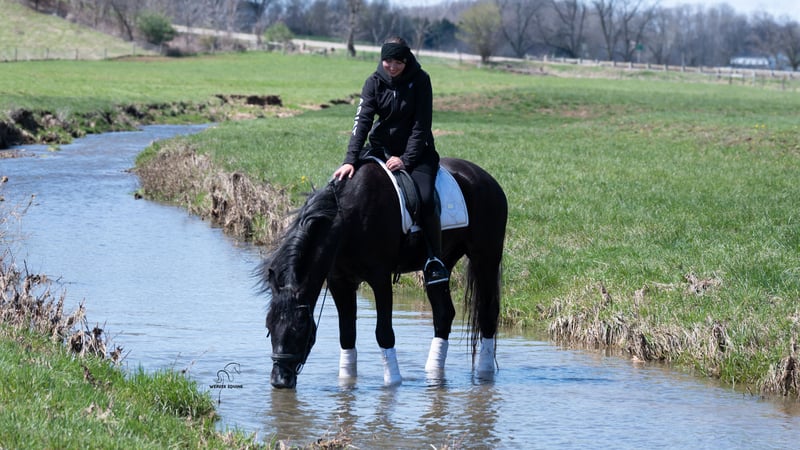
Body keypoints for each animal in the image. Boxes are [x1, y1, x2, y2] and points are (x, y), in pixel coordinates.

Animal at [259, 157, 507, 389]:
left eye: (300, 327)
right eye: (269, 326)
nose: (280, 380)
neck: (348, 219)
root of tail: (486, 179)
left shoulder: (380, 280)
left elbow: (384, 332)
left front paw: (393, 382)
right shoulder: (340, 282)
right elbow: (347, 334)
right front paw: (347, 382)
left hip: (486, 257)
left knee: (488, 313)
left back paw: (484, 373)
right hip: (441, 264)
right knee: (443, 313)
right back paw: (433, 372)